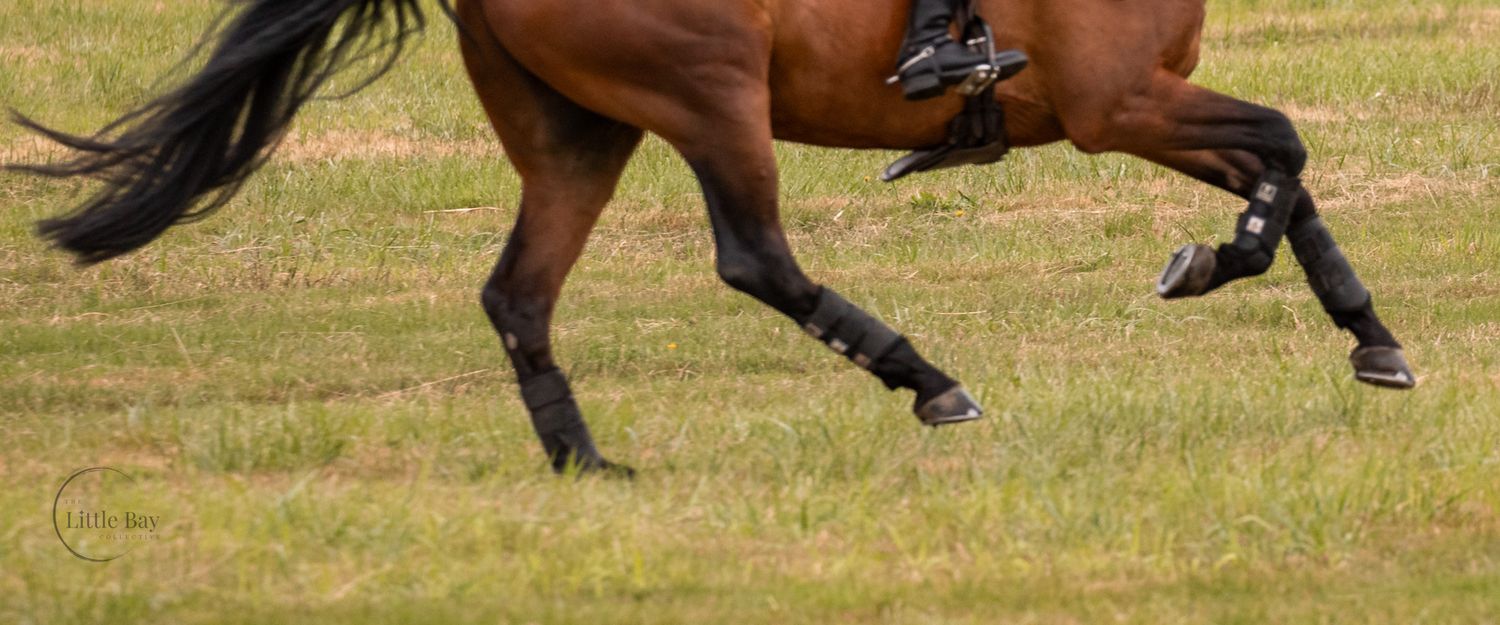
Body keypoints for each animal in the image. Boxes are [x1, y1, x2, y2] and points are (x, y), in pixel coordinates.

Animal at [11, 0, 1416, 475]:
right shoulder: (1113, 102)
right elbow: (1286, 153)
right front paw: (1216, 261)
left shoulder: (1131, 104)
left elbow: (1286, 174)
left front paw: (1371, 340)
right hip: (709, 95)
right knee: (754, 257)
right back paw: (927, 379)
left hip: (580, 134)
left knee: (518, 293)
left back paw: (585, 464)